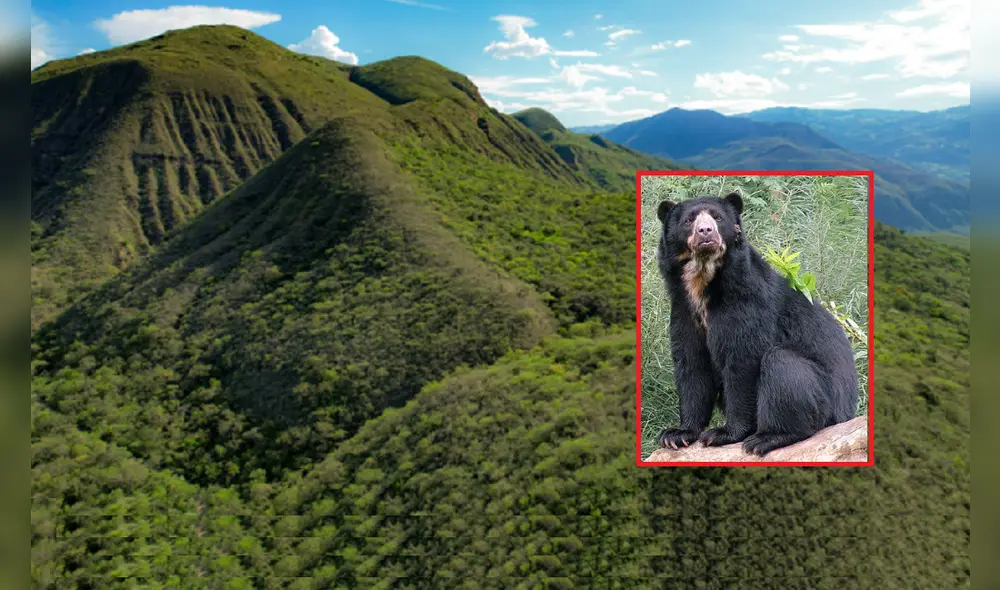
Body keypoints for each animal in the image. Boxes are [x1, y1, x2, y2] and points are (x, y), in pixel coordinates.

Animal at [654, 192, 858, 456]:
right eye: (689, 221)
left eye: (718, 218)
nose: (706, 232)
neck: (703, 282)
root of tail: (848, 412)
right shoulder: (683, 311)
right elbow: (692, 364)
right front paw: (676, 434)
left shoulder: (747, 307)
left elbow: (743, 363)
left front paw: (723, 433)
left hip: (827, 398)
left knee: (782, 364)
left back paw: (768, 437)